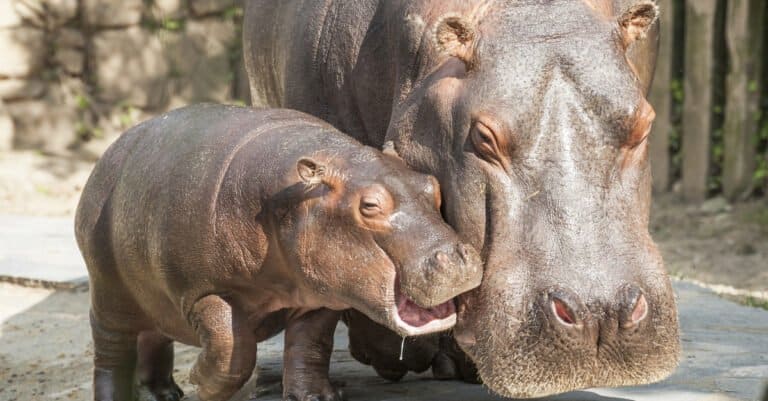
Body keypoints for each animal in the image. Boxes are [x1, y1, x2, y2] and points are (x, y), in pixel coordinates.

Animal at [73, 104, 480, 400]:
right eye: (369, 206)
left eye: (431, 185)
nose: (459, 257)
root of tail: (106, 157)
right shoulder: (202, 292)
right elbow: (232, 350)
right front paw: (200, 382)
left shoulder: (320, 296)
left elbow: (309, 345)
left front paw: (316, 397)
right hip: (109, 295)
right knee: (111, 355)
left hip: (152, 298)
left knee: (153, 336)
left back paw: (164, 393)